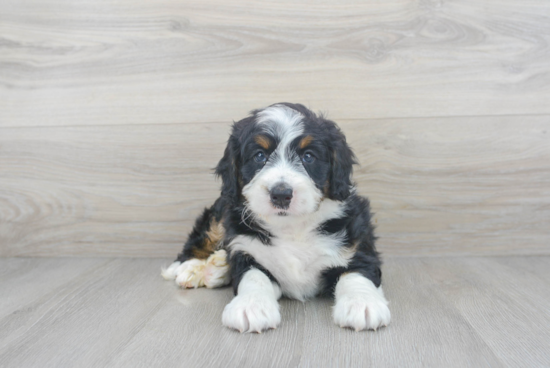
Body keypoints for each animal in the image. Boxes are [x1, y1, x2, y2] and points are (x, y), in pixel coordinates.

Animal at [163, 102, 392, 332]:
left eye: (308, 156)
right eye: (259, 156)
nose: (281, 194)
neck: (292, 227)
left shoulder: (356, 244)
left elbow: (356, 273)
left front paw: (363, 304)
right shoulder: (247, 250)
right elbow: (254, 277)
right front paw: (250, 306)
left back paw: (216, 268)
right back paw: (189, 268)